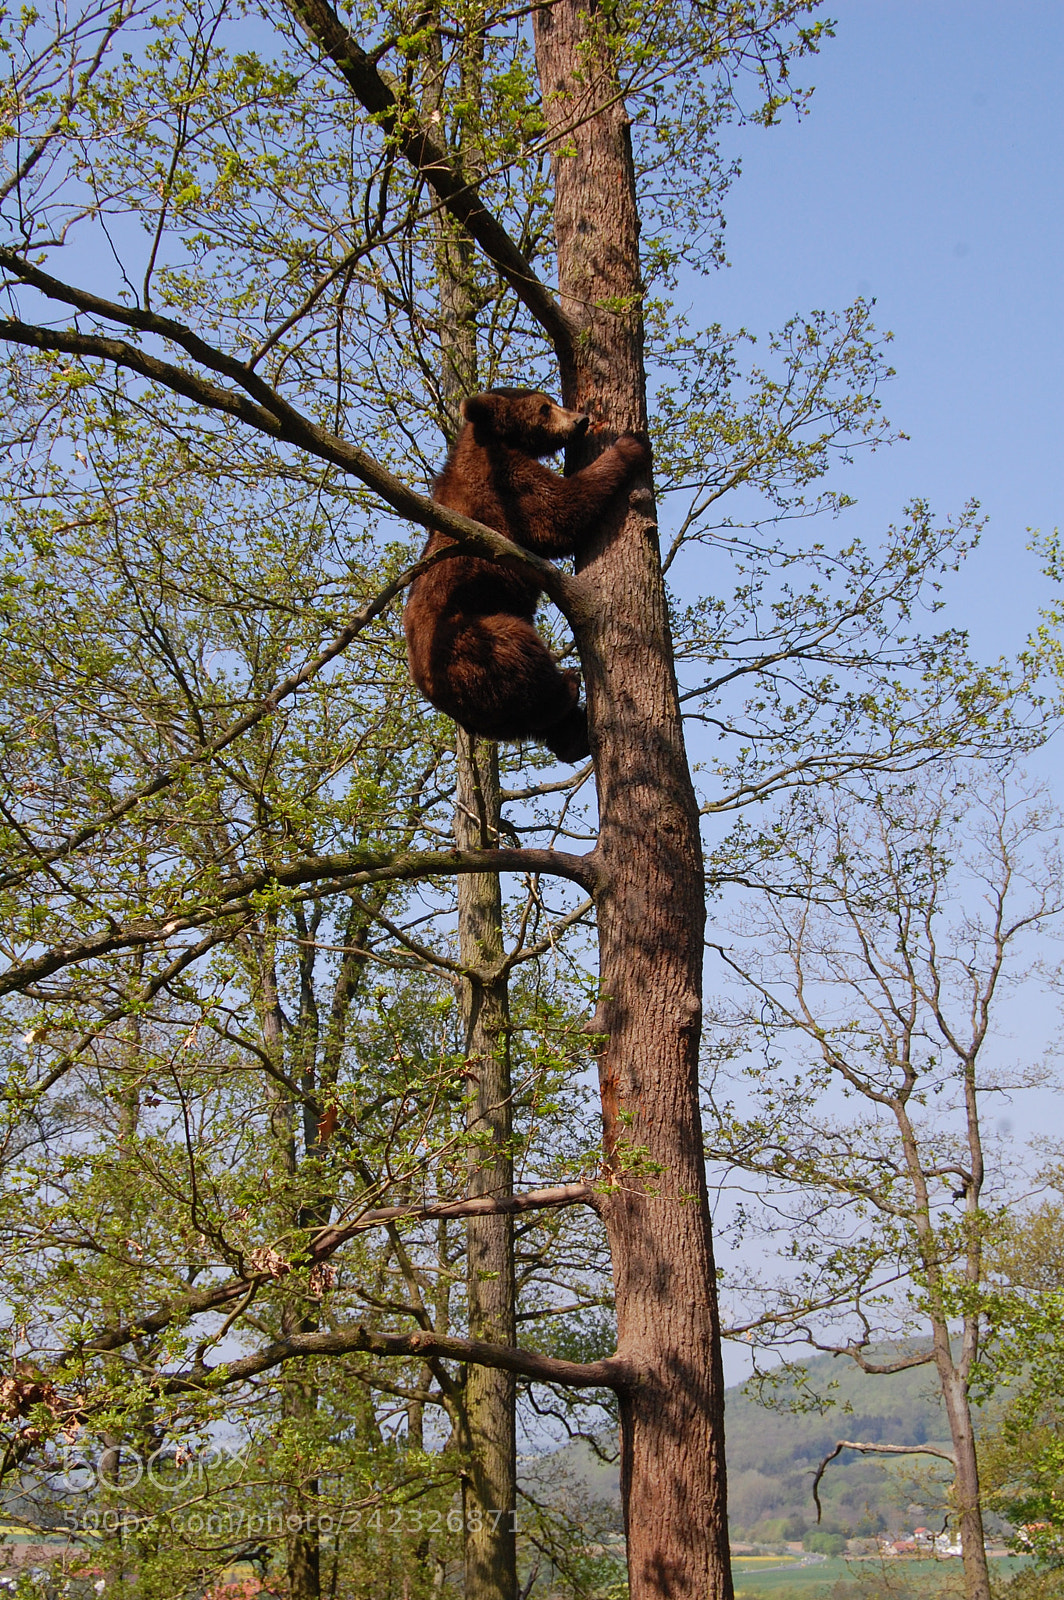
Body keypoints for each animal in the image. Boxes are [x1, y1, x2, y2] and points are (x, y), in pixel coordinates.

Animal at [403, 387, 649, 762]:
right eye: (544, 408)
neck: (497, 440)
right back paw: (568, 685)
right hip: (471, 642)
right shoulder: (506, 486)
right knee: (518, 652)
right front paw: (630, 443)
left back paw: (575, 738)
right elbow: (561, 509)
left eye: (553, 400)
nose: (581, 420)